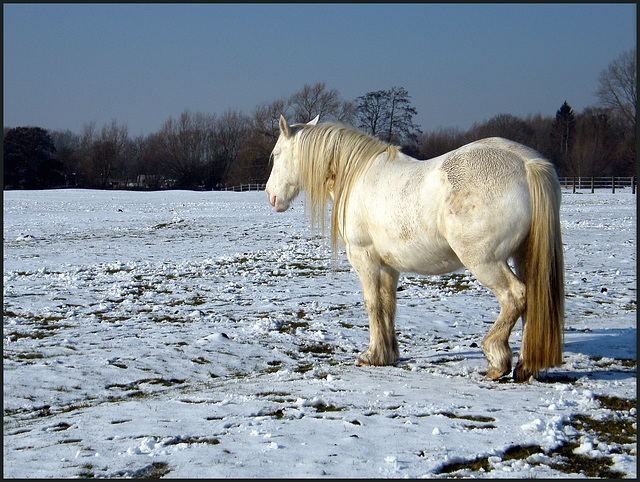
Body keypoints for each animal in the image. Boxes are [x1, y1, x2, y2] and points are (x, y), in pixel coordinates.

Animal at [268, 116, 564, 380]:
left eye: (276, 154)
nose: (271, 196)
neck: (357, 174)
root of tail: (525, 163)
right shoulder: (388, 266)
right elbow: (388, 305)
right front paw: (387, 355)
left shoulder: (365, 258)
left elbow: (372, 304)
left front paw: (370, 355)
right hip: (523, 256)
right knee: (532, 302)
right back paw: (525, 367)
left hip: (485, 261)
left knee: (515, 297)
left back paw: (497, 359)